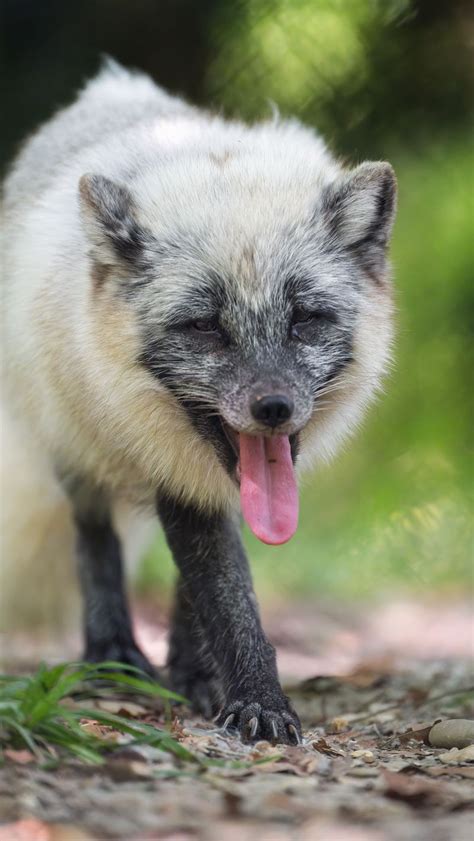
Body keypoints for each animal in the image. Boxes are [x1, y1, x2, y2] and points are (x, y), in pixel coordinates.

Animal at [1, 61, 396, 744]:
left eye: (305, 319)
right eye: (205, 327)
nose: (274, 408)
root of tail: (114, 86)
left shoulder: (212, 486)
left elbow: (205, 589)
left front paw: (209, 678)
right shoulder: (172, 476)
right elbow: (225, 596)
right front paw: (260, 703)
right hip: (71, 447)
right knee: (94, 541)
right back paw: (112, 657)